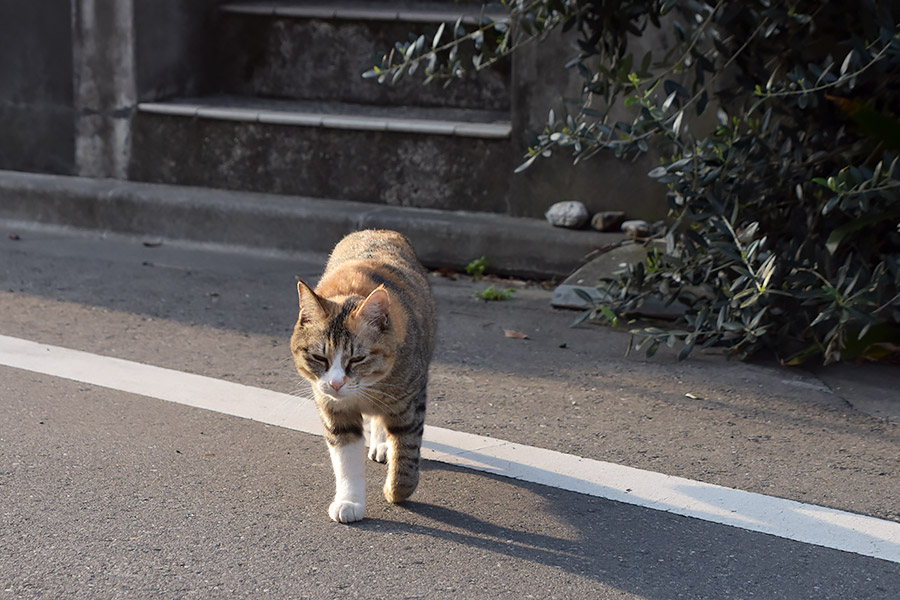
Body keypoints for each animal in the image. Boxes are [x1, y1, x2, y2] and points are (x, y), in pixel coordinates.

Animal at [292, 229, 436, 520]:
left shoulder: (410, 400)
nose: (336, 383)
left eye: (357, 359)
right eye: (320, 358)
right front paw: (350, 501)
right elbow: (346, 460)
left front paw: (396, 490)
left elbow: (407, 451)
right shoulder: (334, 409)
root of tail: (378, 230)